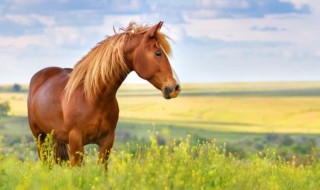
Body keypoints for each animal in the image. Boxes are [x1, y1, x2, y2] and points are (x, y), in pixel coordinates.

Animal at [26, 21, 180, 168]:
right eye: (158, 53)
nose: (175, 87)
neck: (93, 97)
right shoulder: (76, 142)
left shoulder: (107, 142)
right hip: (40, 137)